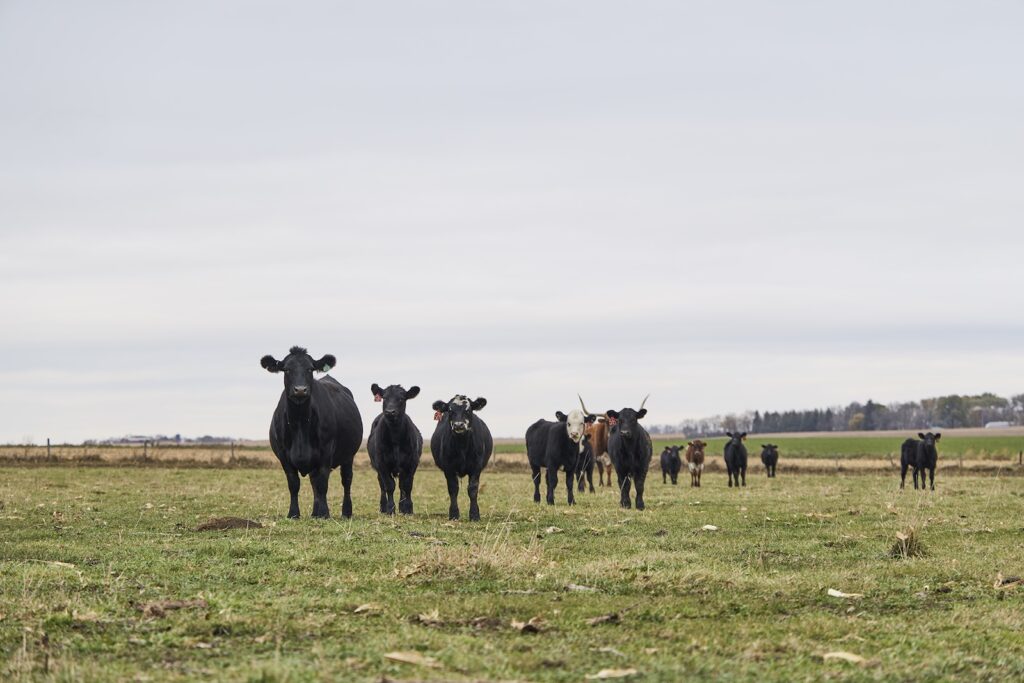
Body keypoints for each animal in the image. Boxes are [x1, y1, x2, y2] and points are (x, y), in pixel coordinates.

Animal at [260, 346, 363, 519]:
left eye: (310, 369)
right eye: (286, 369)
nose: (300, 390)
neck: (300, 422)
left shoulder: (326, 452)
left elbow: (322, 484)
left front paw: (324, 514)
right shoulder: (283, 455)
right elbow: (294, 484)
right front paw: (293, 514)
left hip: (349, 455)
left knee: (346, 480)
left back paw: (346, 512)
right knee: (314, 482)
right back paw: (315, 513)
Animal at [366, 383, 423, 515]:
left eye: (401, 399)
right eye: (384, 398)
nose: (390, 412)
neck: (395, 435)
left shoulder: (412, 463)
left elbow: (407, 485)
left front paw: (407, 508)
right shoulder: (382, 464)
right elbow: (389, 485)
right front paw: (390, 508)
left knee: (402, 485)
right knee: (382, 485)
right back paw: (383, 507)